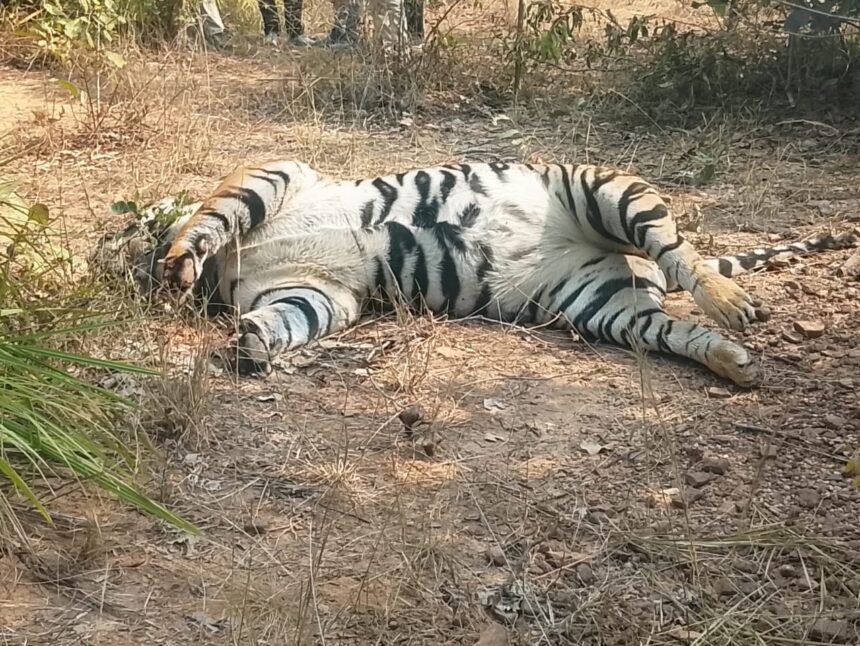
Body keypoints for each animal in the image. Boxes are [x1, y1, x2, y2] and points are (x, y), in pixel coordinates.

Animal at [94, 159, 857, 387]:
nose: (104, 244)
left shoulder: (276, 172)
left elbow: (214, 216)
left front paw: (177, 262)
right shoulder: (315, 292)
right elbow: (289, 319)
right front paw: (252, 341)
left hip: (603, 188)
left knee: (683, 251)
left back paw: (731, 303)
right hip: (604, 305)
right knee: (673, 330)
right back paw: (737, 363)